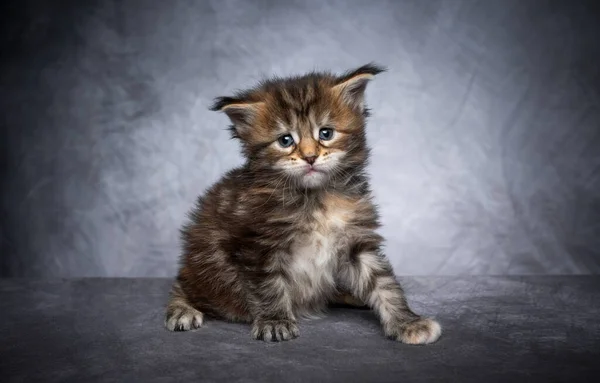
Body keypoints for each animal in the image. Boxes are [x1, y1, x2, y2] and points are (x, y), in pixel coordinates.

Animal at [164, 63, 440, 344]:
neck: (315, 198)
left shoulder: (356, 241)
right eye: (285, 140)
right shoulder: (258, 246)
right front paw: (275, 321)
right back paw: (183, 310)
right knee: (182, 285)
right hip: (204, 267)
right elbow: (269, 286)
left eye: (326, 133)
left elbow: (383, 283)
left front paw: (407, 321)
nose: (310, 157)